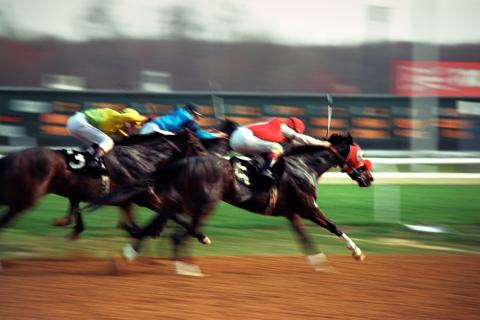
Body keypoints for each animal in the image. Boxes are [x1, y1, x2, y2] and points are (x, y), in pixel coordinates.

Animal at [90, 132, 376, 276]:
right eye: (360, 153)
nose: (369, 177)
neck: (304, 166)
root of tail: (186, 160)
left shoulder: (291, 213)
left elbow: (305, 239)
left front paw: (320, 263)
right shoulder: (307, 207)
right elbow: (334, 227)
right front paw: (357, 252)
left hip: (176, 201)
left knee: (156, 223)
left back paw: (128, 255)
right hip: (205, 204)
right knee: (177, 234)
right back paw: (185, 268)